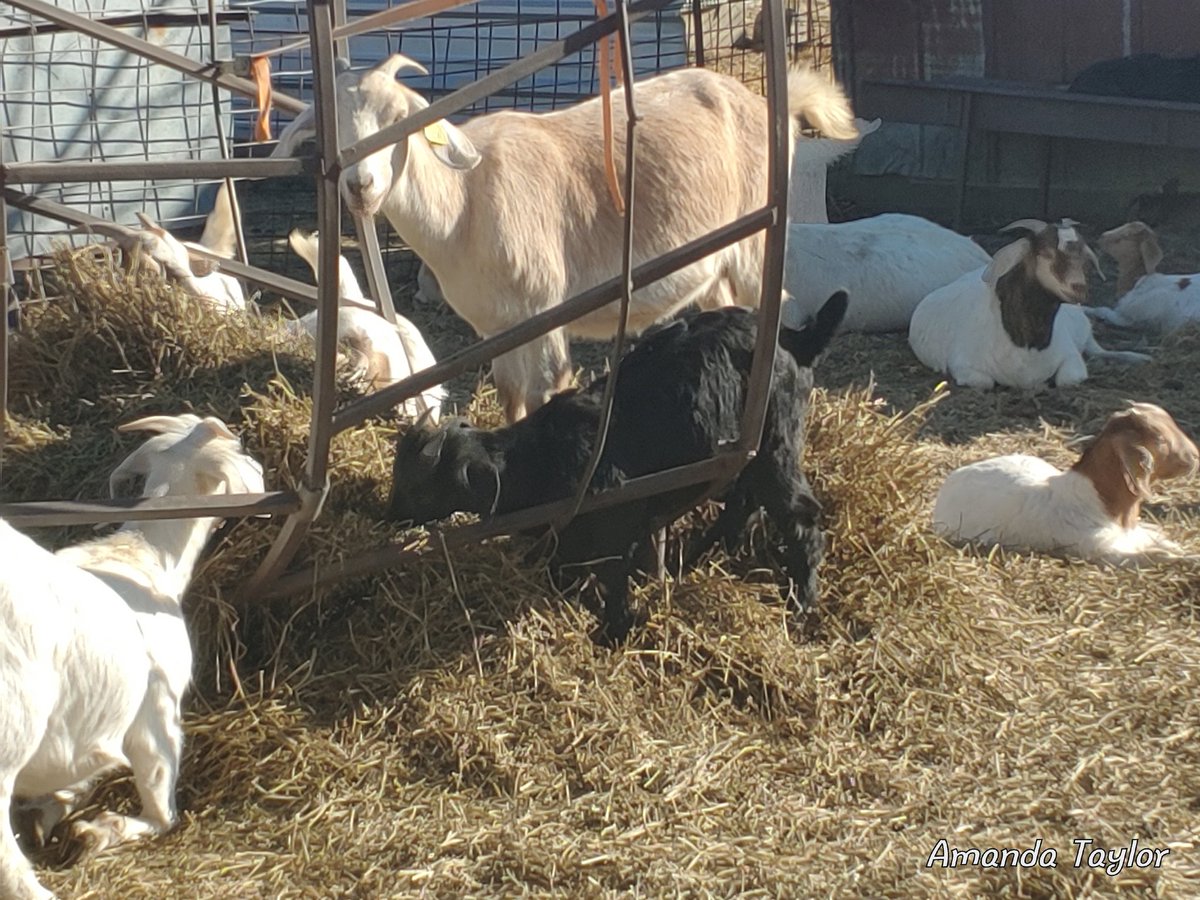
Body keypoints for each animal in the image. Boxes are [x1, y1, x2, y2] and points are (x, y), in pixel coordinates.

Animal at [0, 414, 264, 900]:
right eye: (241, 450)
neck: (144, 557)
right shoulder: (157, 715)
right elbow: (162, 811)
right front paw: (96, 830)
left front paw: (51, 810)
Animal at [386, 292, 847, 643]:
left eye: (417, 485)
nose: (387, 515)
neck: (540, 459)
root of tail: (795, 338)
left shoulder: (615, 531)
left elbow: (613, 585)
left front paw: (614, 632)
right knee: (742, 504)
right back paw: (698, 557)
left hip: (777, 447)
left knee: (800, 519)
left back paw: (800, 603)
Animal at [908, 218, 1150, 390]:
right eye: (1045, 252)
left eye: (1083, 258)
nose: (1078, 288)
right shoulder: (964, 367)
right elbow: (984, 382)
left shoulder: (1072, 358)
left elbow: (1068, 380)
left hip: (1085, 331)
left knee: (1099, 351)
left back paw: (1138, 357)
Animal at [933, 403, 1198, 561]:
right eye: (1160, 439)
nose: (1195, 455)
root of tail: (950, 480)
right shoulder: (1102, 550)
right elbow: (1155, 556)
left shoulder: (1134, 535)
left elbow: (1160, 541)